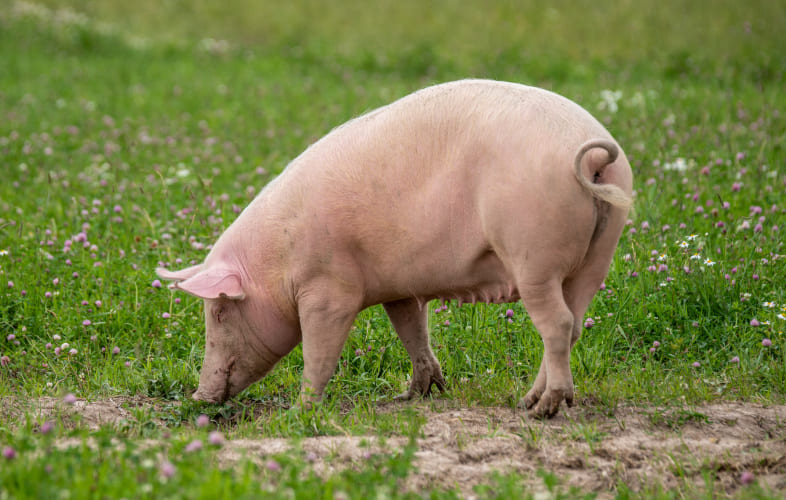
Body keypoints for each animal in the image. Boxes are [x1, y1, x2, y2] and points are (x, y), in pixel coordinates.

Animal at [156, 79, 633, 419]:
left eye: (219, 311)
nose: (198, 396)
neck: (277, 259)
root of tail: (591, 155)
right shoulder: (401, 288)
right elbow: (412, 332)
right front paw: (417, 395)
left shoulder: (328, 290)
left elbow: (319, 353)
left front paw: (299, 412)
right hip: (599, 255)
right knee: (574, 324)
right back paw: (528, 401)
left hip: (533, 254)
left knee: (556, 324)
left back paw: (544, 410)